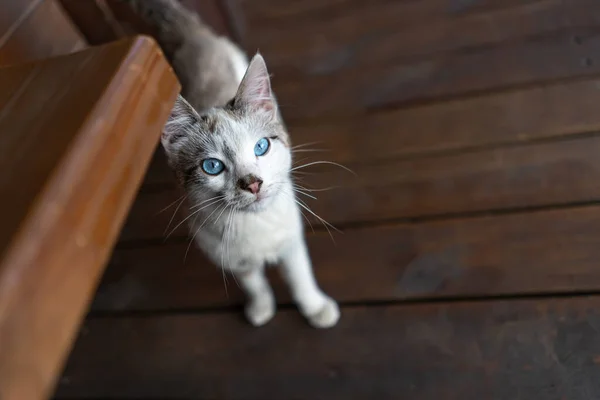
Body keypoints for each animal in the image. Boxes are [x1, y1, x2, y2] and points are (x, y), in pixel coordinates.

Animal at [162, 54, 340, 328]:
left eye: (261, 147)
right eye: (212, 166)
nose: (253, 183)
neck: (255, 224)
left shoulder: (291, 240)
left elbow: (300, 277)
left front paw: (316, 308)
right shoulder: (230, 258)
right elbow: (254, 285)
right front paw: (262, 308)